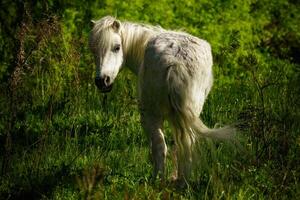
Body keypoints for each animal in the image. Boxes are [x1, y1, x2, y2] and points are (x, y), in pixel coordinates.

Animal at [89, 15, 234, 184]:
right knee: (186, 143)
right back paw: (182, 181)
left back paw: (158, 178)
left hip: (151, 115)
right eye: (93, 50)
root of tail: (175, 62)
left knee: (160, 146)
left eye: (117, 47)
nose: (102, 81)